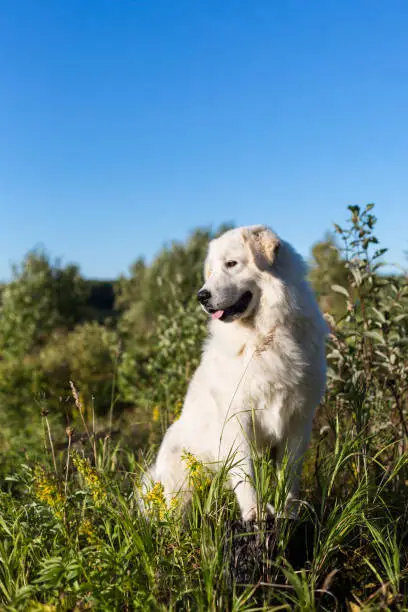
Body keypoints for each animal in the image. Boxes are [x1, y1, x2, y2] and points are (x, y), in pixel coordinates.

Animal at [145, 226, 326, 520]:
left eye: (231, 264)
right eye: (211, 272)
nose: (201, 296)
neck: (265, 335)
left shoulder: (298, 420)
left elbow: (288, 475)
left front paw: (287, 512)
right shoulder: (237, 420)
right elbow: (245, 474)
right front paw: (255, 513)